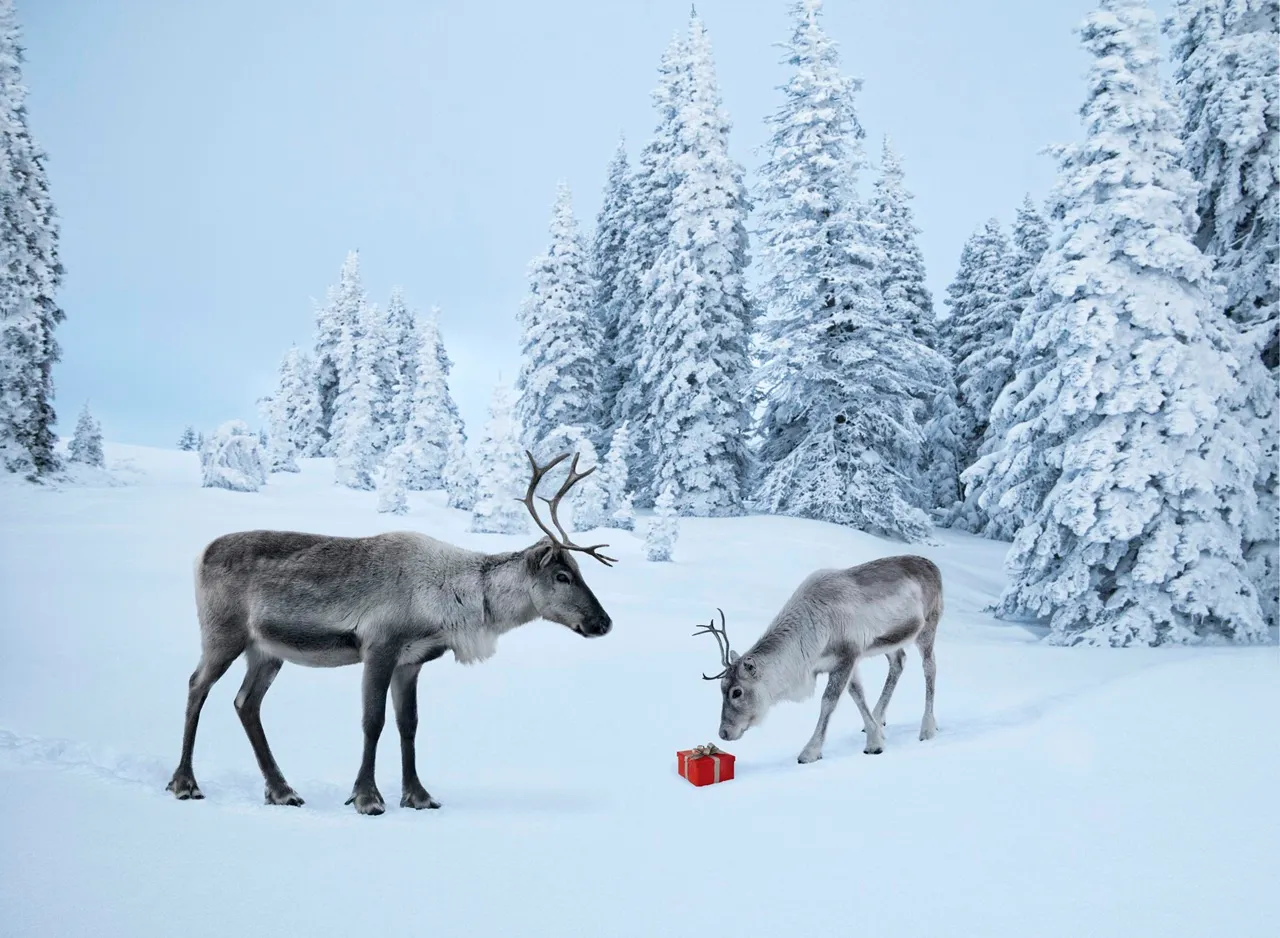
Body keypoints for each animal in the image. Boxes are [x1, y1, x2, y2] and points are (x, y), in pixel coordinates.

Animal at [165, 451, 616, 816]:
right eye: (562, 575)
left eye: (580, 571)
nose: (604, 623)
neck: (452, 600)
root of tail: (199, 554)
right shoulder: (379, 647)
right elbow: (373, 721)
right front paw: (367, 797)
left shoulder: (411, 661)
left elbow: (409, 724)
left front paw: (418, 795)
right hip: (223, 634)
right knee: (196, 686)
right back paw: (185, 783)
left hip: (266, 650)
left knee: (246, 703)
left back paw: (281, 791)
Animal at [697, 555, 942, 765]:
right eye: (721, 686)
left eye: (736, 692)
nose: (723, 733)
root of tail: (934, 567)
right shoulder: (844, 661)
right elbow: (857, 695)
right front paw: (875, 737)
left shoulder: (847, 655)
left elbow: (828, 702)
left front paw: (811, 752)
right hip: (890, 642)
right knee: (898, 661)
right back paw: (879, 716)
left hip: (928, 625)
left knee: (929, 667)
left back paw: (928, 728)